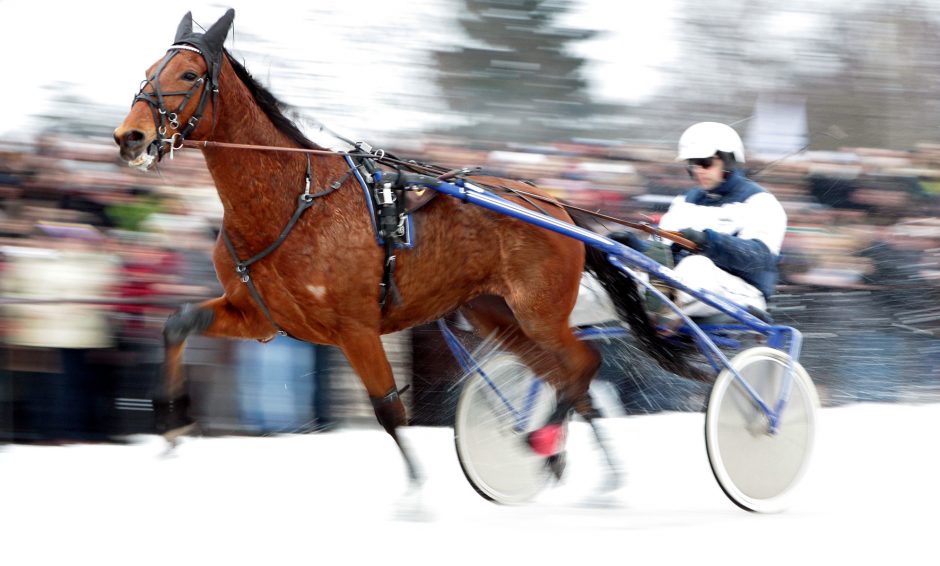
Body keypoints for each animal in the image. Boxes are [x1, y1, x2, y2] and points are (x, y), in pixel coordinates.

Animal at [114, 10, 688, 484]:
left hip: (539, 311)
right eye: (149, 69)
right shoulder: (260, 317)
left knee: (584, 365)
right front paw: (171, 421)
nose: (130, 137)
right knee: (564, 376)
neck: (292, 199)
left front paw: (416, 495)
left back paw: (549, 444)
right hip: (496, 313)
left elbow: (389, 409)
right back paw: (583, 468)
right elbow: (177, 324)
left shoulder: (355, 327)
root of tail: (554, 204)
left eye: (188, 75)